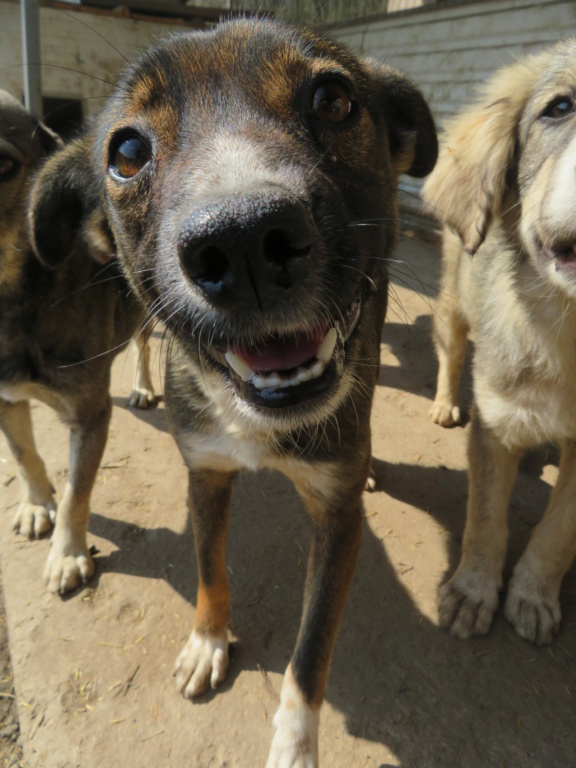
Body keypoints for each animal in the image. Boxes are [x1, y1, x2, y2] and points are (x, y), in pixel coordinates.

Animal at [0, 90, 155, 592]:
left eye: (3, 165)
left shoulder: (90, 415)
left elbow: (76, 492)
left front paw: (67, 554)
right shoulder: (5, 400)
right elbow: (24, 456)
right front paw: (35, 504)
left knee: (145, 346)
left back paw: (145, 387)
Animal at [77, 18, 436, 760]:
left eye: (333, 99)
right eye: (127, 151)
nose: (242, 241)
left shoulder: (338, 514)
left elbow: (312, 649)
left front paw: (296, 743)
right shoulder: (205, 472)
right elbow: (210, 571)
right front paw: (208, 641)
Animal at [420, 40, 576, 648]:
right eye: (560, 108)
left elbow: (559, 531)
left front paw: (533, 595)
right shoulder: (495, 420)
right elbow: (485, 518)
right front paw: (472, 591)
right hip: (453, 305)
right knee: (451, 352)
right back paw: (444, 402)